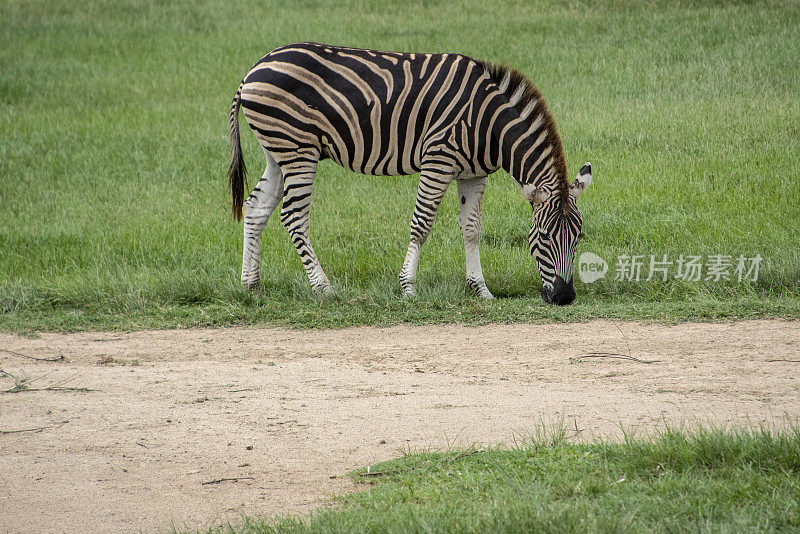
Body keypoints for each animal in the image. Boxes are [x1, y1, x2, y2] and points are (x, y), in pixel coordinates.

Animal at [228, 42, 592, 306]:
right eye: (543, 237)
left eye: (579, 237)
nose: (564, 297)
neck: (490, 124)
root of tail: (252, 71)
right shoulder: (438, 160)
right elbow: (422, 224)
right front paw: (408, 289)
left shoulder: (473, 174)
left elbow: (472, 230)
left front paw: (481, 290)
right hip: (298, 151)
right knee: (293, 216)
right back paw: (324, 288)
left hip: (278, 153)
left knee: (256, 208)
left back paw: (251, 287)